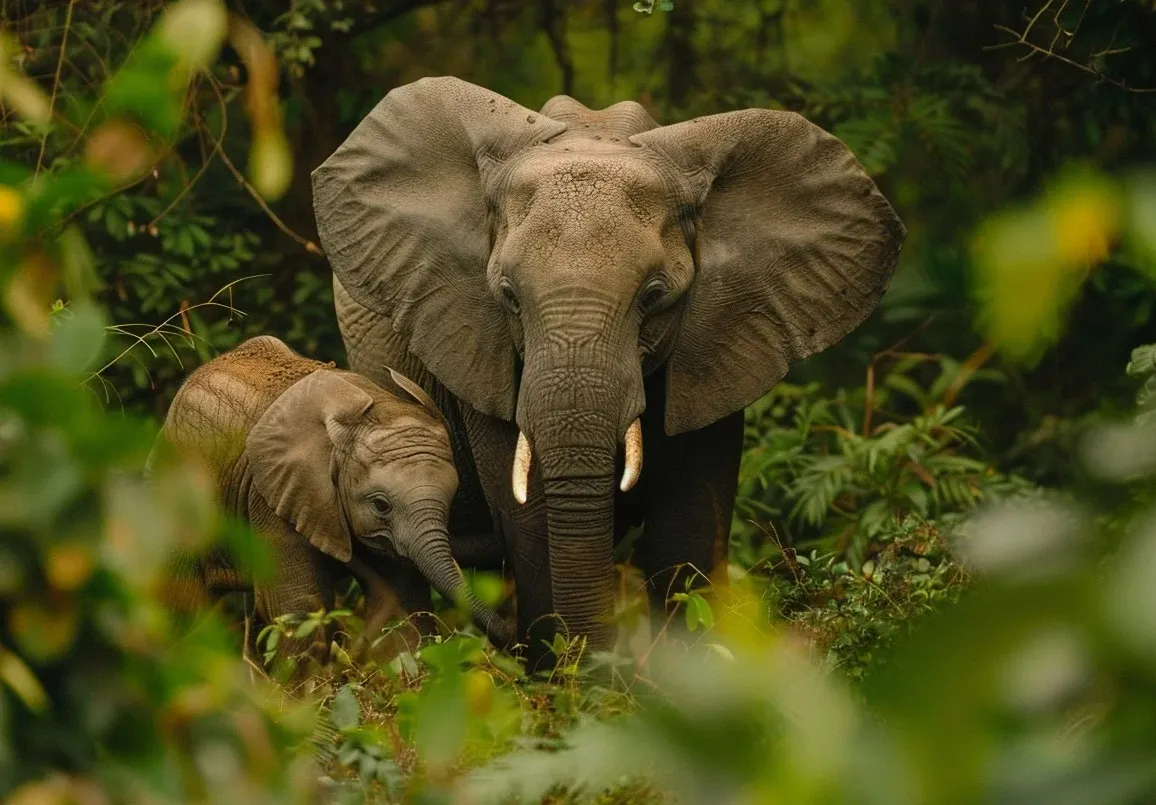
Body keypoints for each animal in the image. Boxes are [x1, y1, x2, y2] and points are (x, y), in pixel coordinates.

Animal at [147, 334, 512, 663]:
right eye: (381, 505)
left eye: (450, 502)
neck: (375, 408)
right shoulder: (271, 496)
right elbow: (299, 607)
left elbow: (399, 605)